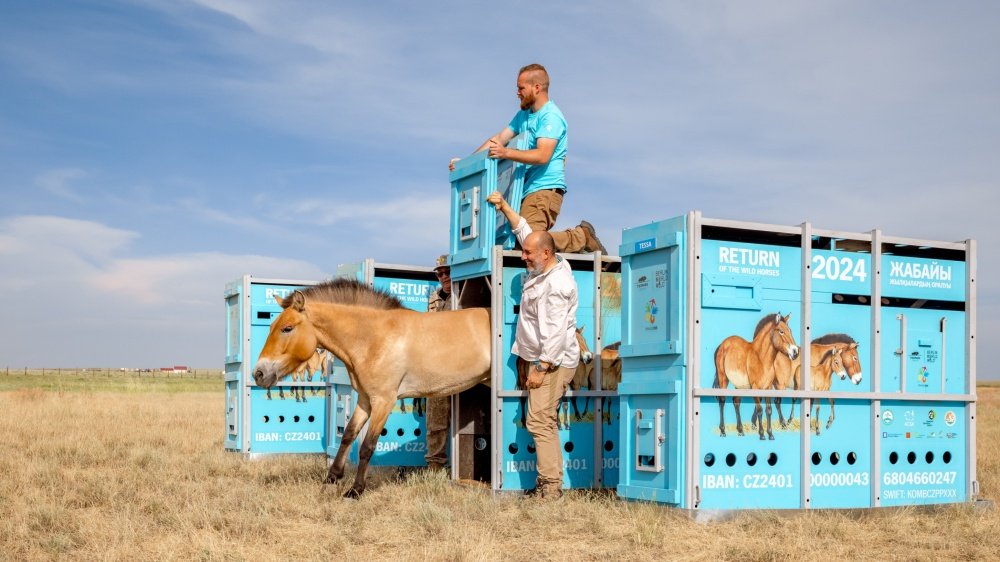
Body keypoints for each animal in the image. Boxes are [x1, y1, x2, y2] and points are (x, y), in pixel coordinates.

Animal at [252, 278, 490, 496]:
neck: (375, 338)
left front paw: (355, 490)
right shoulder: (365, 400)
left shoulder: (383, 402)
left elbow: (367, 445)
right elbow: (348, 435)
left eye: (287, 328)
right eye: (272, 326)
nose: (259, 373)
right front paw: (331, 479)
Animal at [716, 312, 800, 440]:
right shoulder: (755, 387)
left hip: (740, 385)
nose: (795, 352)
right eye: (781, 331)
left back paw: (740, 431)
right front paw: (761, 434)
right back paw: (723, 431)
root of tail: (723, 344)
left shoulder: (768, 388)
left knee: (736, 402)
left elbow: (769, 410)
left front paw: (770, 434)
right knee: (722, 401)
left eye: (790, 331)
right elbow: (760, 409)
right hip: (723, 379)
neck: (761, 358)